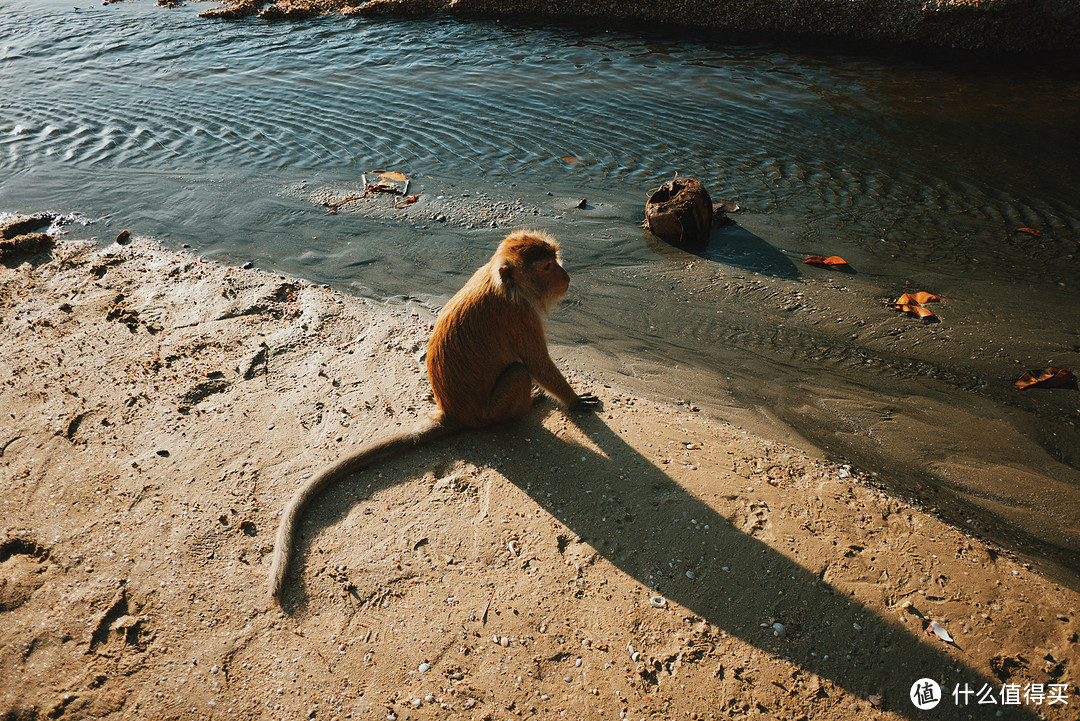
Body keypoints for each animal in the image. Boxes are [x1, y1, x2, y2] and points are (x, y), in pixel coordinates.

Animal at [265, 229, 596, 595]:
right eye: (548, 267)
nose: (566, 277)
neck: (507, 285)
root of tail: (452, 414)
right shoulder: (520, 316)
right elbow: (536, 362)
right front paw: (573, 400)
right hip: (492, 411)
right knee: (519, 371)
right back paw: (530, 404)